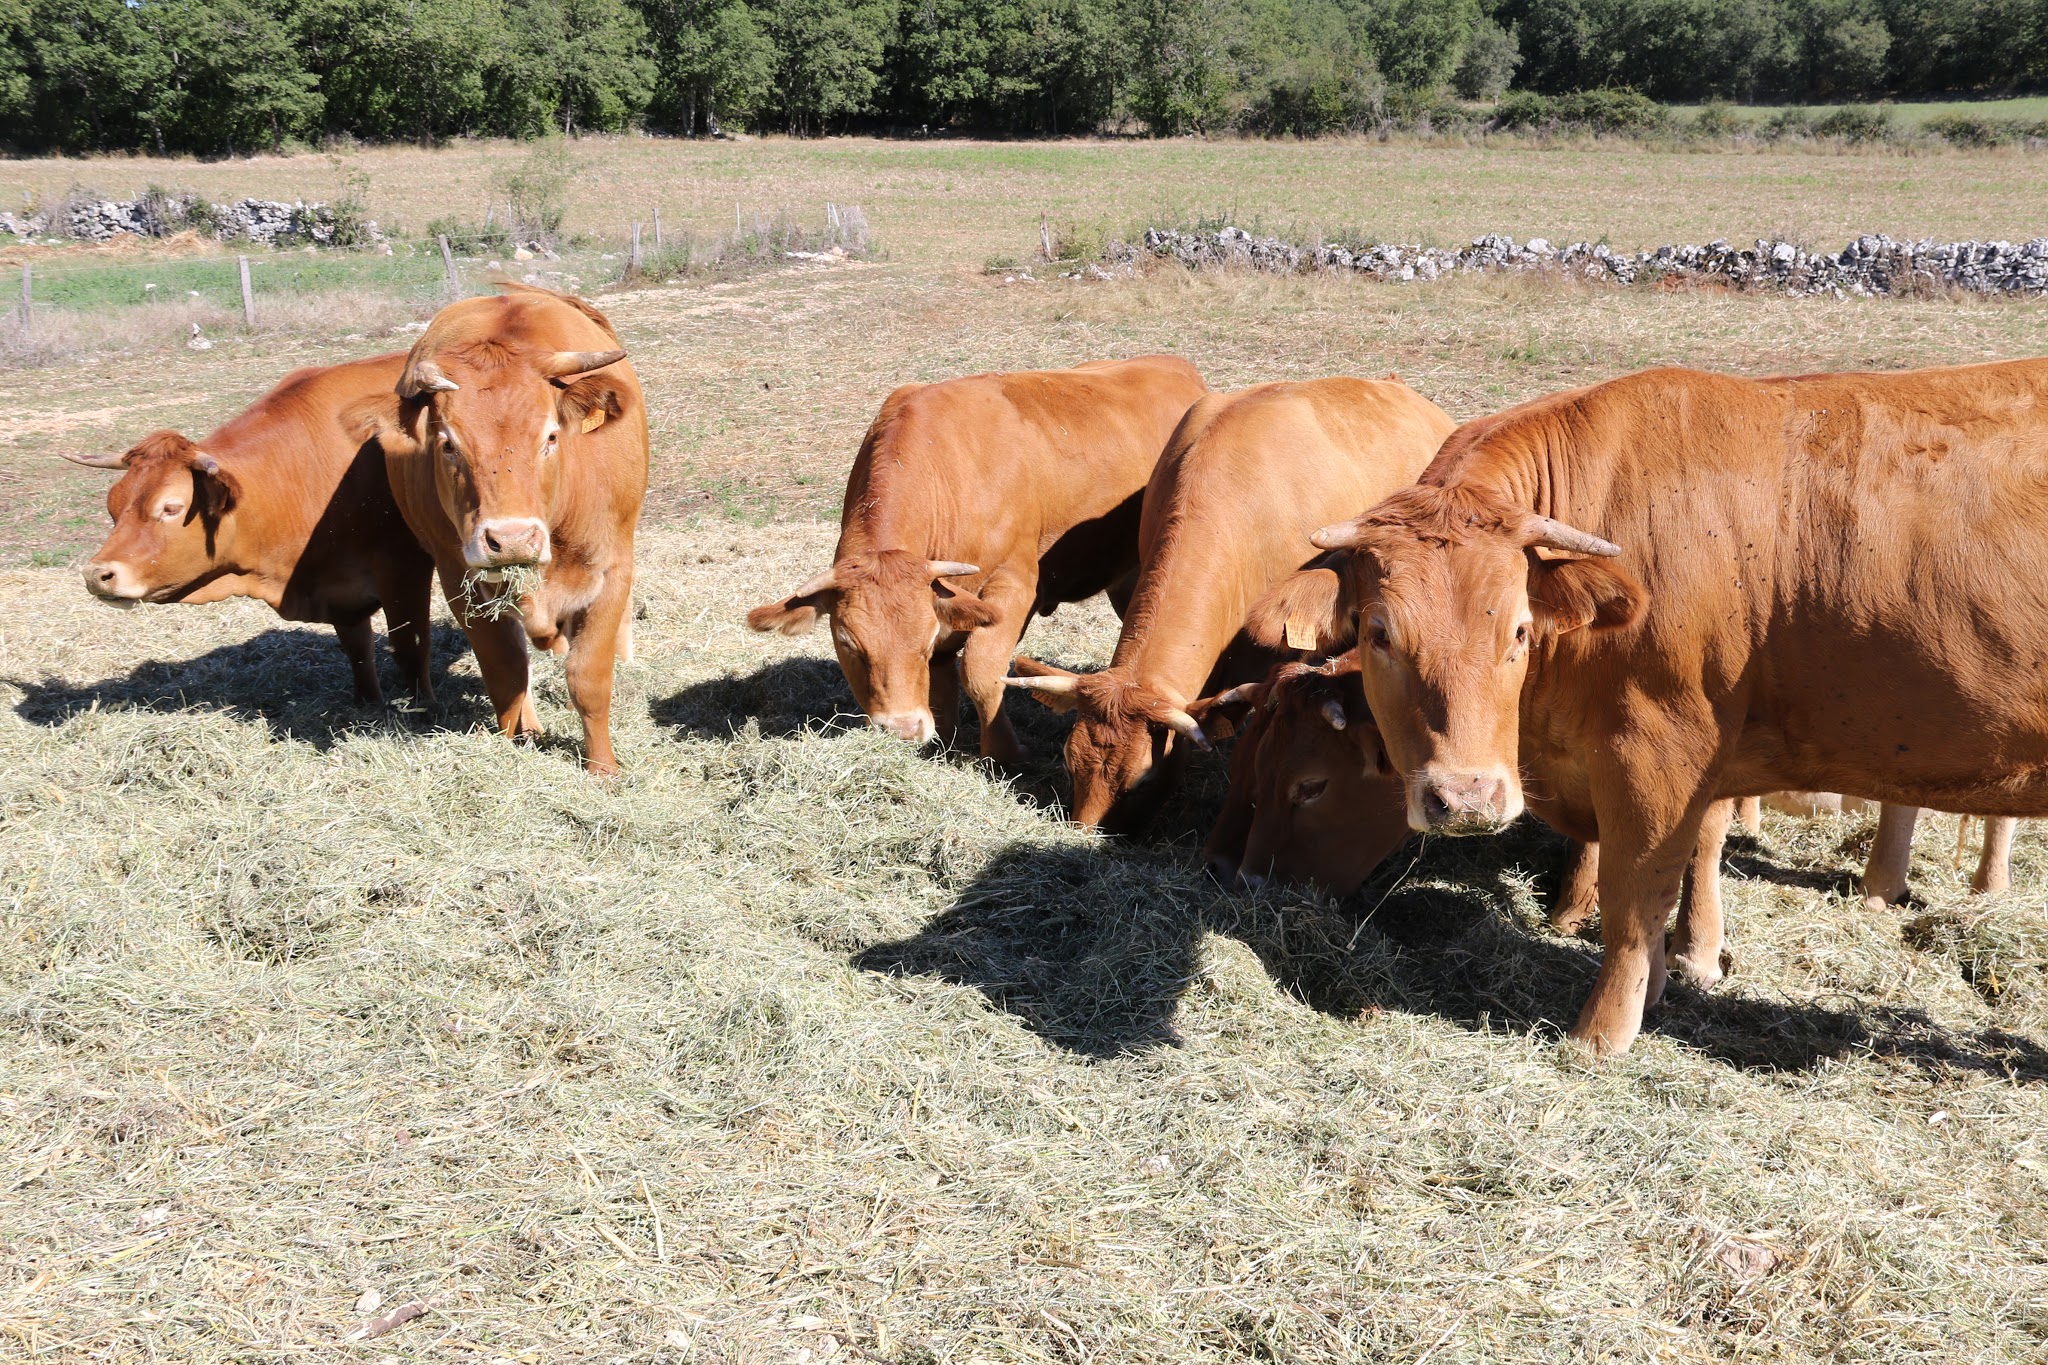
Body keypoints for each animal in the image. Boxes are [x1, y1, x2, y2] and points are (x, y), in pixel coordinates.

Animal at [66, 353, 434, 705]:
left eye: (171, 507)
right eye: (112, 505)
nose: (96, 575)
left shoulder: (406, 569)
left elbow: (410, 649)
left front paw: (424, 709)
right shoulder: (342, 592)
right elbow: (358, 650)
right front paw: (367, 704)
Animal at [345, 282, 648, 775]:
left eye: (550, 436)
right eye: (448, 444)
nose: (511, 541)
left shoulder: (612, 570)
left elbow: (588, 676)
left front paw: (603, 769)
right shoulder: (459, 582)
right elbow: (506, 674)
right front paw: (512, 750)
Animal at [748, 357, 1206, 767]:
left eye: (924, 639)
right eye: (847, 643)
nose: (903, 729)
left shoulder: (1016, 583)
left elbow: (981, 672)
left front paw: (1005, 753)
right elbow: (943, 678)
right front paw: (943, 743)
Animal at [1251, 360, 2048, 1055]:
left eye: (1519, 629)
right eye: (1379, 632)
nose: (1467, 798)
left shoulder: (1659, 751)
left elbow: (1636, 894)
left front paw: (1602, 1033)